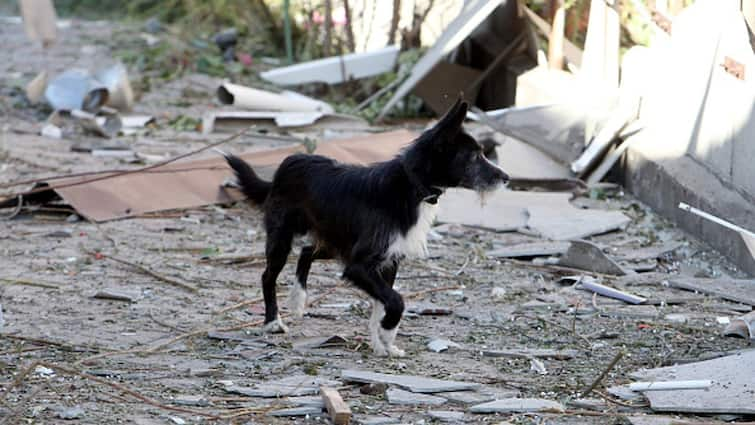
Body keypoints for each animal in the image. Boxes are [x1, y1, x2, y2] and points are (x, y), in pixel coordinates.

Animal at [223, 98, 508, 354]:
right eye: (474, 157)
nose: (506, 178)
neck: (410, 185)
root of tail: (288, 163)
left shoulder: (387, 261)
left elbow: (383, 302)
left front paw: (383, 343)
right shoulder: (359, 266)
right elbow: (395, 300)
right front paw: (387, 331)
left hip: (336, 242)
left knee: (306, 252)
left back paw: (298, 298)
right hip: (283, 238)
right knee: (268, 275)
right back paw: (273, 321)